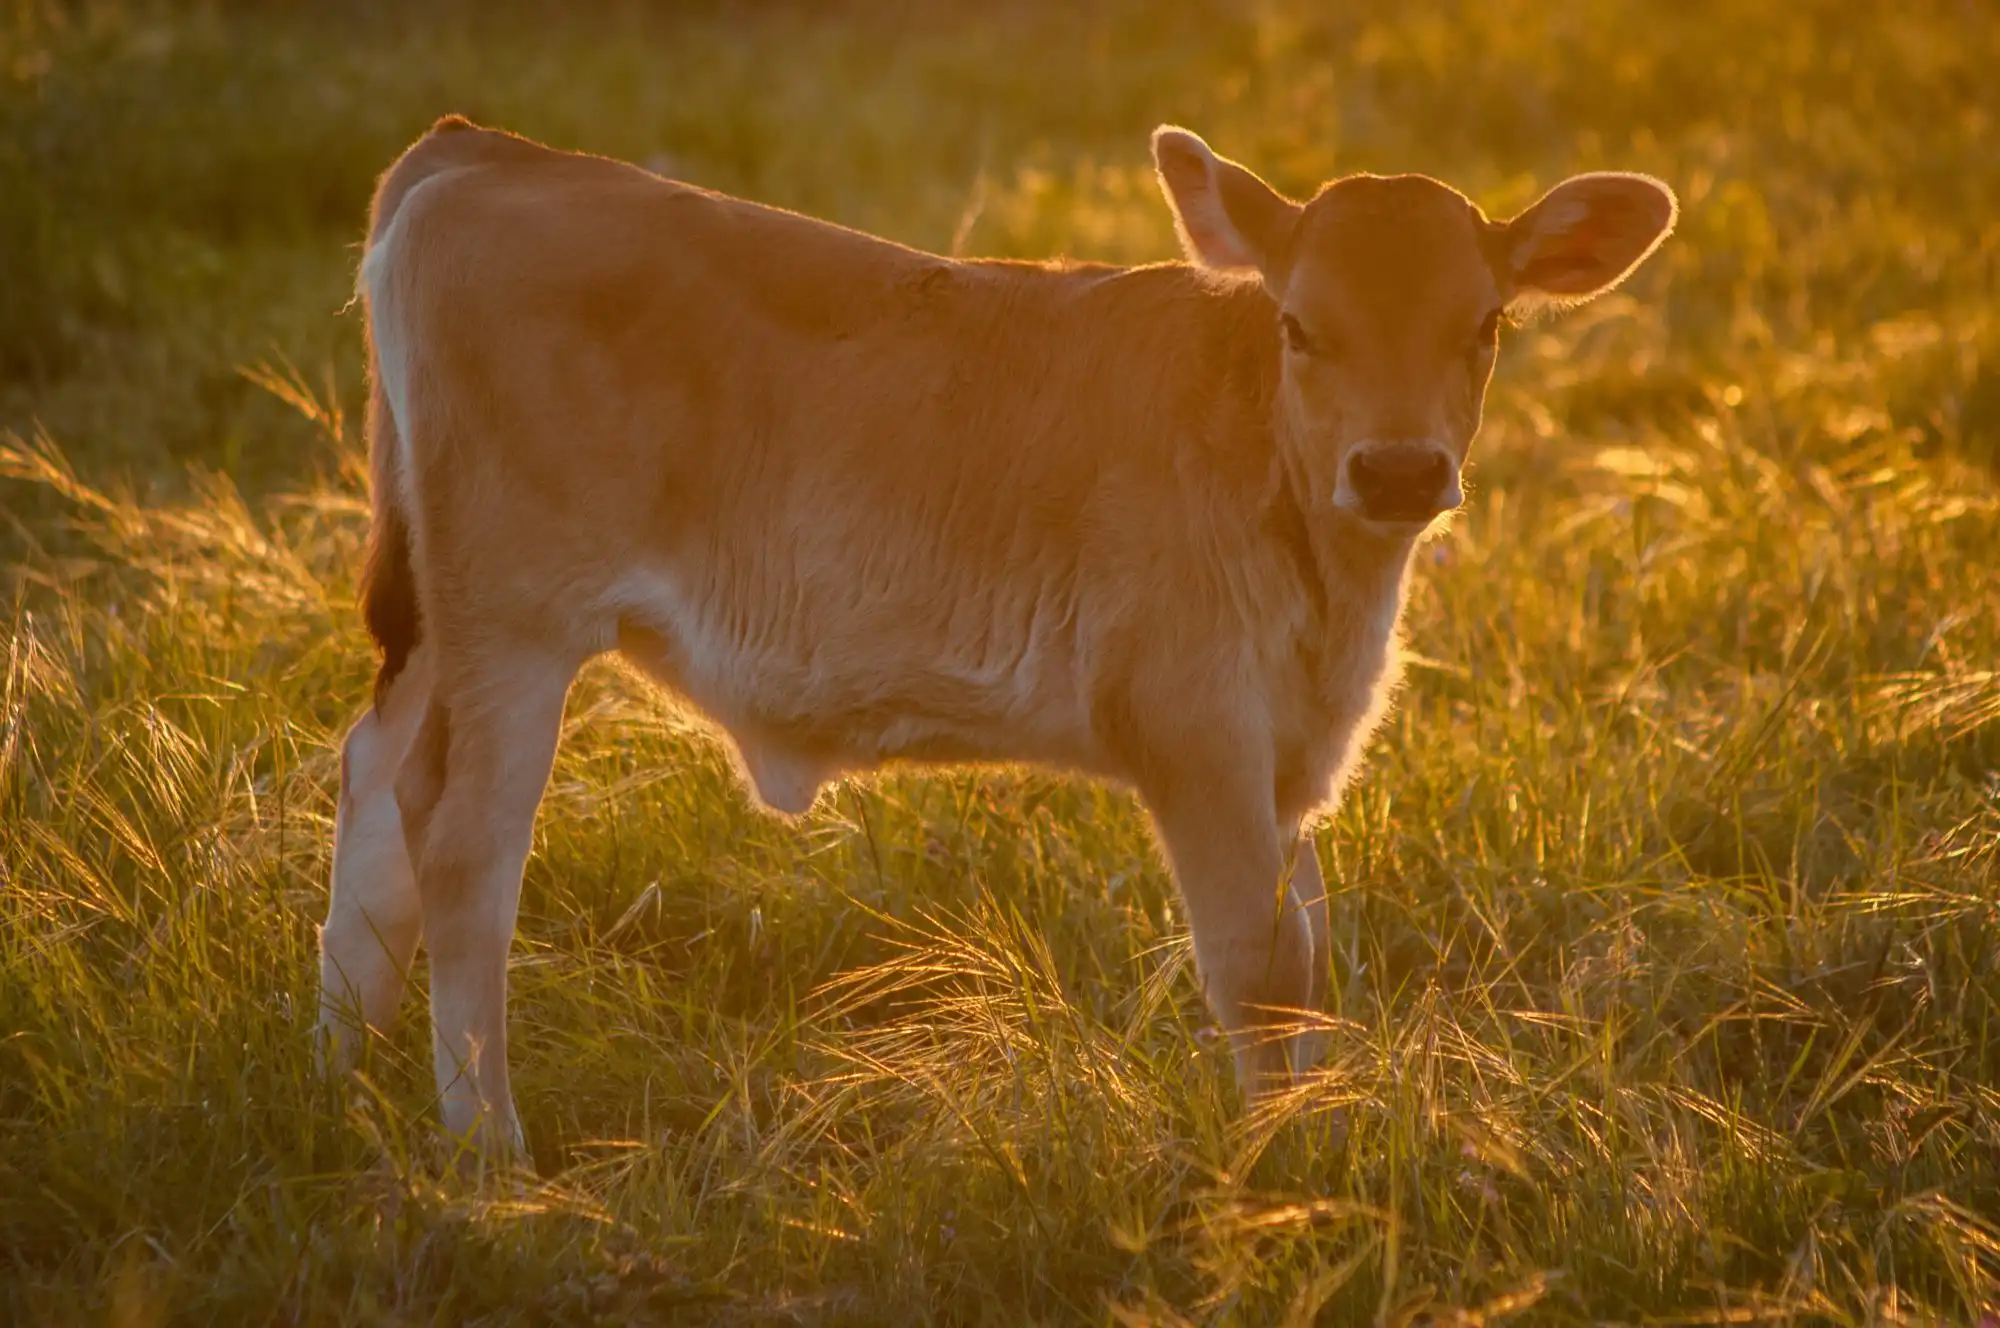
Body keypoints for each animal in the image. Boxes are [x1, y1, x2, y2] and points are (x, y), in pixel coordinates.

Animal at [317, 114, 1676, 1163]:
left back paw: (338, 1071)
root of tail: (489, 153)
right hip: (513, 620)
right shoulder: (1193, 730)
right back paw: (490, 1149)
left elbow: (1309, 955)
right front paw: (1279, 1179)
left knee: (374, 786)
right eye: (1298, 325)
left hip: (439, 625)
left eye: (1485, 323)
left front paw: (1321, 1136)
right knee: (461, 845)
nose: (1396, 468)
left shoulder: (1290, 756)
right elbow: (1255, 960)